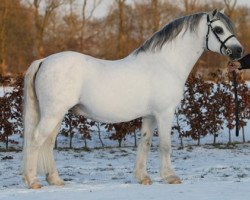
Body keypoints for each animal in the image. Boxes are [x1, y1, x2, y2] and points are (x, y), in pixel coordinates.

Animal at [22, 9, 242, 189]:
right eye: (219, 29)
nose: (239, 51)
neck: (165, 63)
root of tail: (44, 61)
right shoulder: (165, 113)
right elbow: (165, 145)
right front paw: (170, 177)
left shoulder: (150, 116)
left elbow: (145, 143)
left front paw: (143, 178)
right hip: (53, 113)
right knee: (36, 139)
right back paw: (33, 181)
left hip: (57, 115)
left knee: (47, 143)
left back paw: (55, 180)